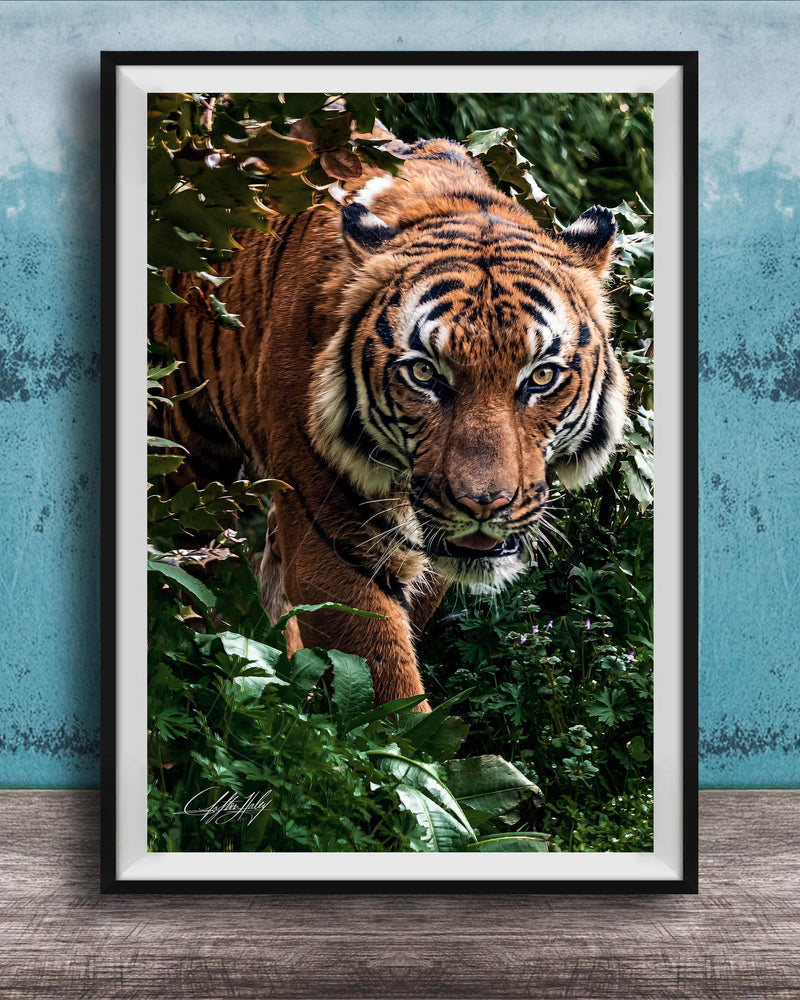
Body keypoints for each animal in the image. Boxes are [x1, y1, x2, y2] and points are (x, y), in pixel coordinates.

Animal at [150, 138, 628, 711]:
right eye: (425, 373)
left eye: (541, 376)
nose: (482, 506)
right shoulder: (332, 542)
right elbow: (382, 681)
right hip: (185, 457)